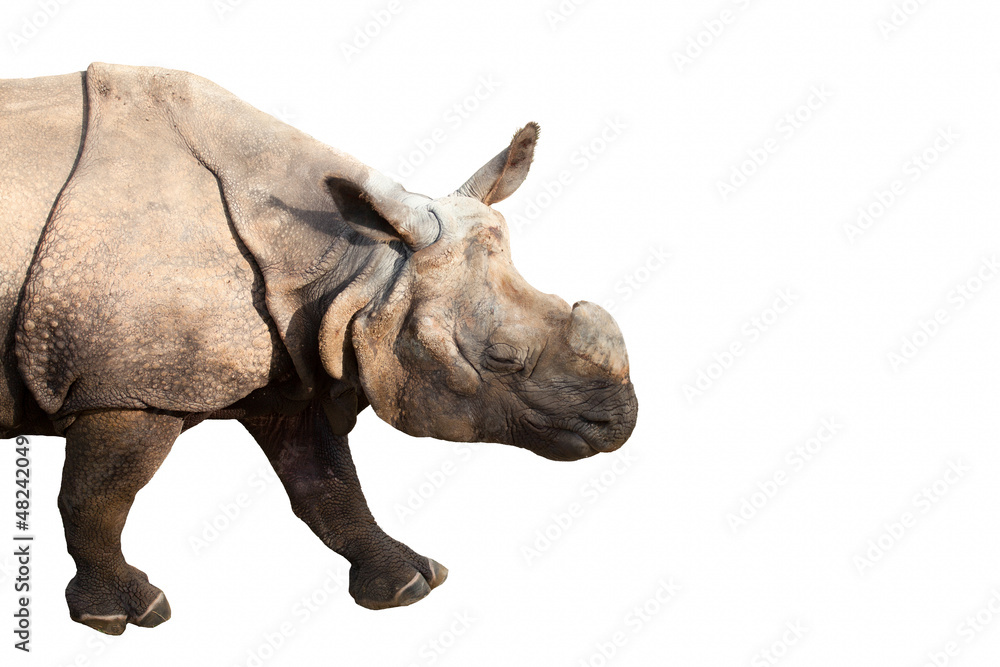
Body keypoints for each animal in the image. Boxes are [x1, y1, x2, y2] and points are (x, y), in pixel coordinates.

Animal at [0, 63, 637, 634]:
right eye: (501, 359)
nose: (621, 422)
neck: (353, 263)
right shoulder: (130, 385)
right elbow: (97, 496)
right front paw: (121, 616)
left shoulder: (293, 360)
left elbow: (327, 483)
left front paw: (409, 584)